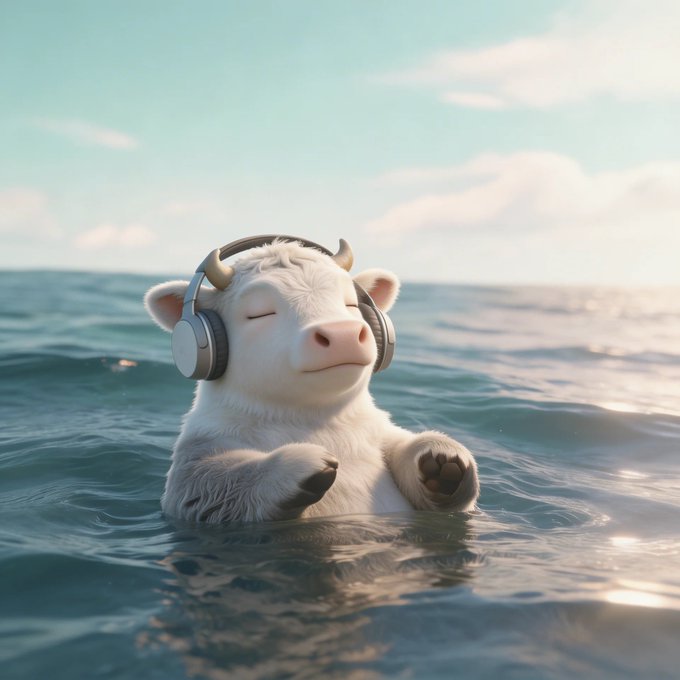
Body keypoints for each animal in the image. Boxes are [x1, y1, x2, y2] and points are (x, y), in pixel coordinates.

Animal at [144, 237, 479, 523]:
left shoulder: (375, 435)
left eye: (350, 304)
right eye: (260, 313)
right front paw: (293, 466)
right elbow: (205, 490)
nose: (342, 334)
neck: (315, 420)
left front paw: (441, 459)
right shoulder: (203, 447)